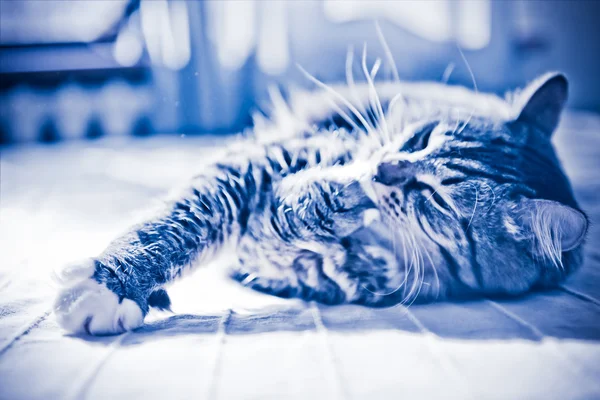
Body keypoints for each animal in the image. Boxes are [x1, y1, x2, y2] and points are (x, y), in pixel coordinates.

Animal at [54, 71, 588, 334]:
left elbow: (285, 222)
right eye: (419, 139)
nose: (383, 170)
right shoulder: (250, 168)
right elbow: (172, 227)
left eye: (435, 197)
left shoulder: (294, 261)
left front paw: (328, 201)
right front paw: (111, 285)